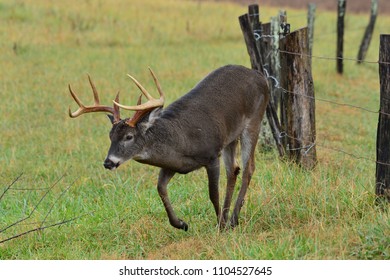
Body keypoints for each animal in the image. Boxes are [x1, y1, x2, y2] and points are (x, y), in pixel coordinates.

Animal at [68, 64, 268, 231]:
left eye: (129, 136)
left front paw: (219, 226)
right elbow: (160, 188)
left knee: (248, 168)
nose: (108, 162)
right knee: (233, 170)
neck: (181, 139)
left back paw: (232, 220)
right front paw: (181, 224)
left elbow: (212, 193)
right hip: (230, 137)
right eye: (110, 136)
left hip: (254, 120)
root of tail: (260, 76)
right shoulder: (172, 164)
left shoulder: (211, 155)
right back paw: (229, 219)